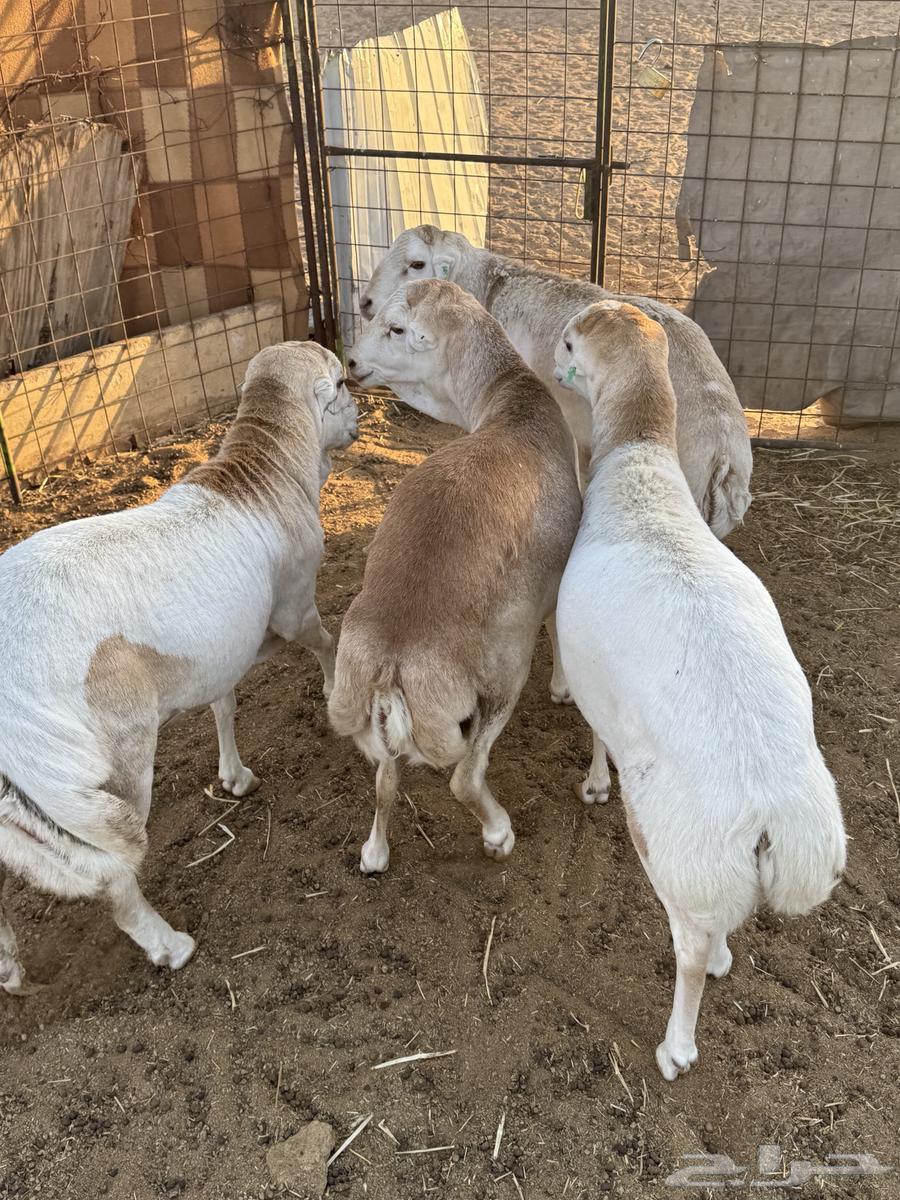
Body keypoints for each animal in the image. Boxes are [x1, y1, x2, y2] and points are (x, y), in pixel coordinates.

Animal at [0, 341, 358, 991]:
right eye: (340, 382)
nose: (363, 412)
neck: (262, 473)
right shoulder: (293, 605)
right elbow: (324, 640)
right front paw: (331, 687)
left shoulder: (219, 646)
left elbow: (224, 702)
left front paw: (234, 777)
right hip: (103, 771)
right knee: (110, 876)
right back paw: (169, 945)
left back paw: (9, 968)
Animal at [329, 279, 581, 874]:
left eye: (396, 327)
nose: (349, 361)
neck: (510, 400)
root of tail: (391, 659)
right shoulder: (553, 582)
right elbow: (558, 624)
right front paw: (562, 688)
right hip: (499, 673)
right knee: (465, 777)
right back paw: (498, 833)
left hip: (366, 708)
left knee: (385, 778)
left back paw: (374, 850)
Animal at [552, 301, 846, 1080]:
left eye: (570, 342)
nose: (553, 366)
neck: (641, 467)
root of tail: (772, 809)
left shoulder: (596, 683)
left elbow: (597, 736)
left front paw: (594, 785)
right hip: (743, 859)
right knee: (722, 924)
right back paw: (721, 961)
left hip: (682, 854)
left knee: (688, 946)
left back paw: (677, 1044)